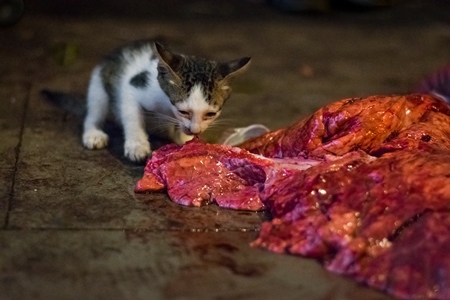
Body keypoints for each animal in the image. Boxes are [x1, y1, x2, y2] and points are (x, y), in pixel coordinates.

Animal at [83, 40, 251, 162]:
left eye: (210, 114)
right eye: (183, 111)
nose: (195, 130)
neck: (167, 107)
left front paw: (186, 140)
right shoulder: (134, 86)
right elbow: (132, 116)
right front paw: (137, 144)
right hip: (98, 83)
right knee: (96, 109)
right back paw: (93, 133)